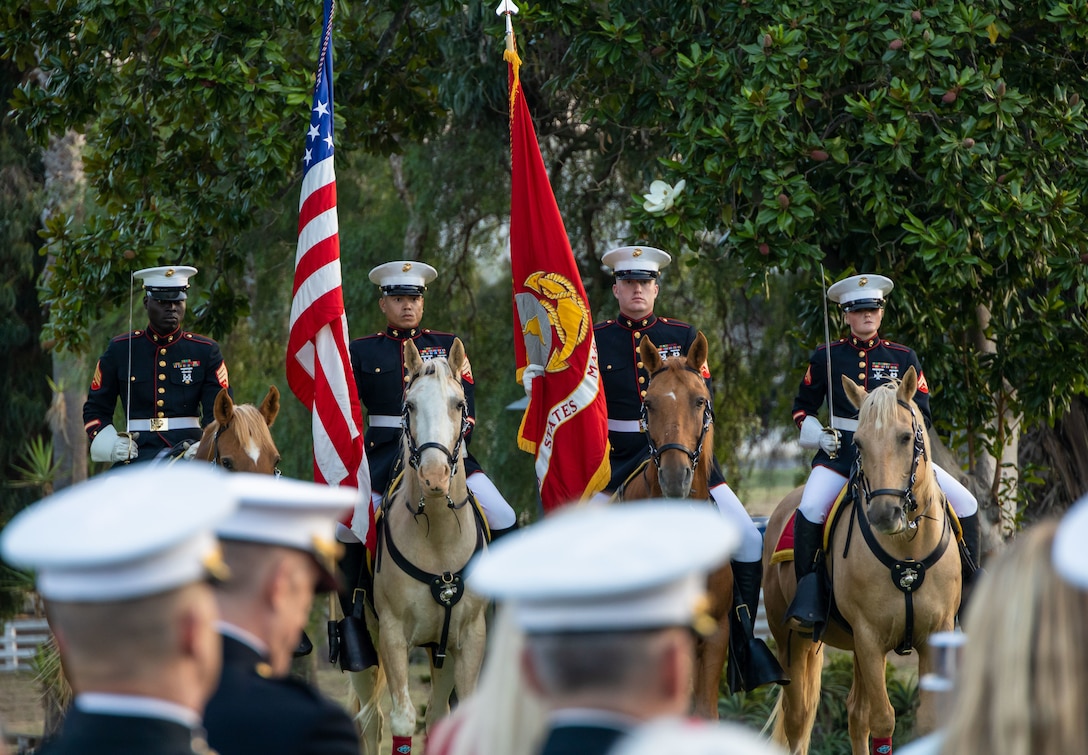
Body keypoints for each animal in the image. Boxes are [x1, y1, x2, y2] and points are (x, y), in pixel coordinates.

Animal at [350, 339, 487, 755]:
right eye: (409, 405)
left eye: (458, 403)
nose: (434, 476)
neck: (438, 536)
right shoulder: (394, 637)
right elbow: (402, 720)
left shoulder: (468, 638)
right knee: (371, 721)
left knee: (439, 713)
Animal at [761, 367, 957, 755]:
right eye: (860, 444)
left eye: (905, 437)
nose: (884, 514)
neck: (906, 550)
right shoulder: (869, 638)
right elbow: (883, 719)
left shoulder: (935, 634)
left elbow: (927, 721)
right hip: (791, 639)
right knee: (799, 719)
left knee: (854, 712)